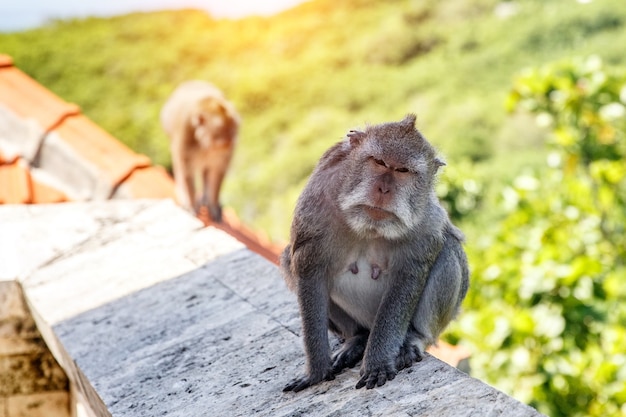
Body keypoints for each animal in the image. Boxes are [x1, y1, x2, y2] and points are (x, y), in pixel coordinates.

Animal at [161, 79, 239, 221]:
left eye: (232, 129)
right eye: (221, 131)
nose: (230, 142)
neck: (205, 144)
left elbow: (216, 171)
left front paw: (213, 204)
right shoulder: (185, 136)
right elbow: (187, 172)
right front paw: (191, 204)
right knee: (179, 166)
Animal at [280, 114, 466, 390]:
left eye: (402, 171)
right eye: (379, 162)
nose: (384, 190)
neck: (368, 225)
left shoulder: (425, 222)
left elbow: (408, 278)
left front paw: (377, 364)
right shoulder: (315, 204)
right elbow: (309, 270)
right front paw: (316, 372)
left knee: (448, 250)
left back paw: (414, 338)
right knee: (287, 259)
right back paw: (357, 339)